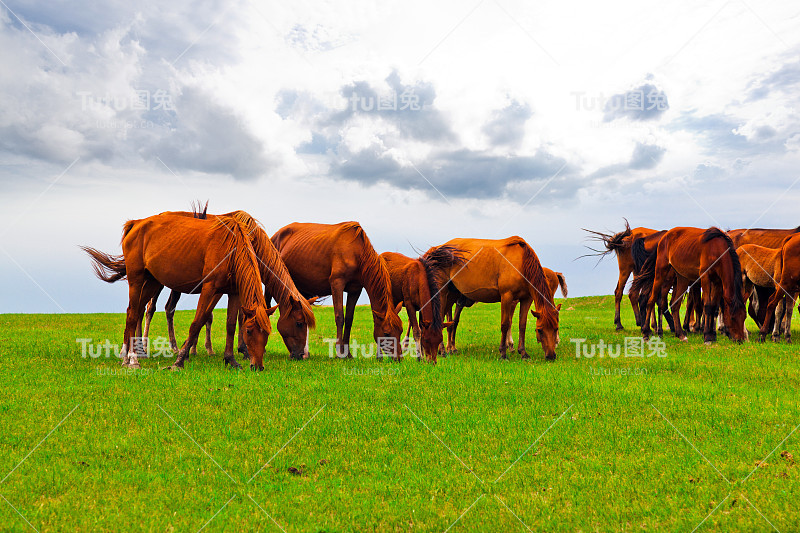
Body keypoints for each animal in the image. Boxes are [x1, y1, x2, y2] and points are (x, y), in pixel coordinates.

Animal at [81, 212, 274, 370]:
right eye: (249, 332)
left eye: (267, 333)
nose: (258, 366)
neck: (231, 248)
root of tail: (136, 223)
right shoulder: (209, 288)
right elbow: (198, 322)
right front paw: (179, 360)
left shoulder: (233, 292)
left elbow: (230, 325)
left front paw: (230, 360)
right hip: (136, 279)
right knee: (133, 314)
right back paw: (133, 359)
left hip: (152, 282)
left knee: (134, 311)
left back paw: (126, 357)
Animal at [142, 210, 318, 360]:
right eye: (299, 323)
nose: (301, 355)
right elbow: (214, 315)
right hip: (157, 281)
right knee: (150, 308)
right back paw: (144, 346)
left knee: (168, 308)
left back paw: (173, 347)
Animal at [272, 220, 404, 358]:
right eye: (387, 333)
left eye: (400, 331)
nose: (398, 358)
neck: (355, 252)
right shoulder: (337, 284)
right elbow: (340, 317)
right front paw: (340, 352)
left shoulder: (355, 290)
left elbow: (349, 319)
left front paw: (348, 353)